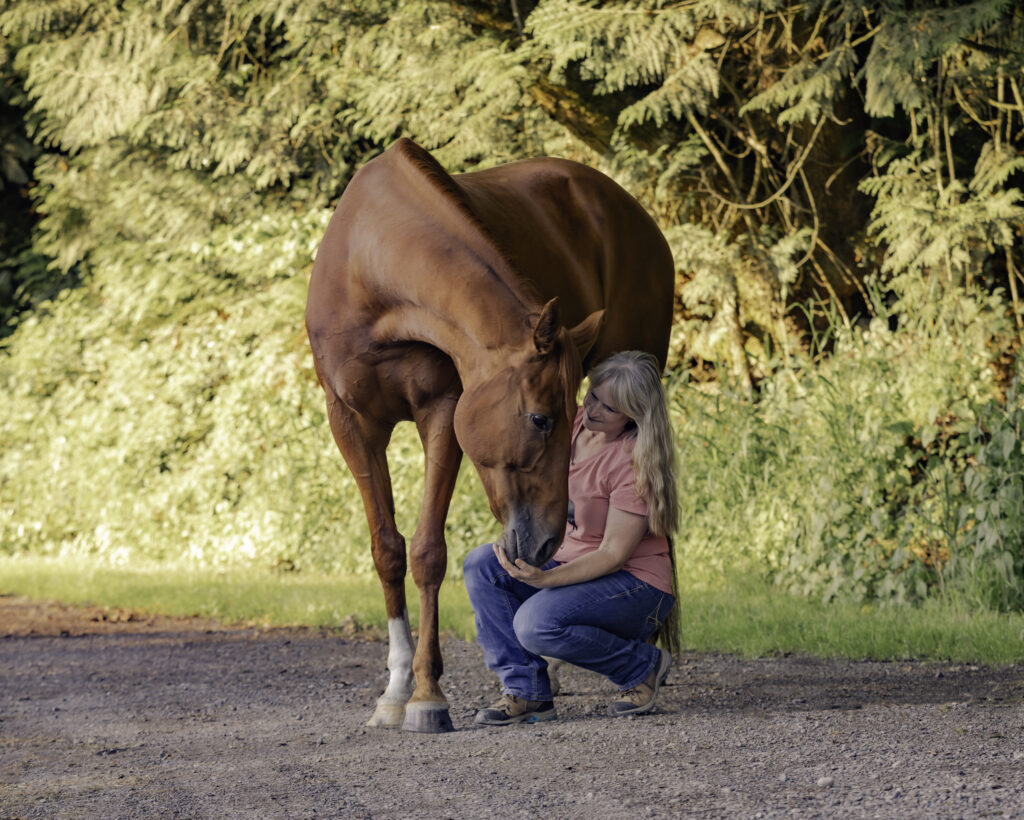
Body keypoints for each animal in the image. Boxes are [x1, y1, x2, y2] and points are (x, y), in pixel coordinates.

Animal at [303, 137, 671, 732]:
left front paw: (427, 696)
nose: (543, 543)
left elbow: (428, 552)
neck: (370, 272)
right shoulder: (350, 424)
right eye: (542, 419)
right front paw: (395, 691)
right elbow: (388, 551)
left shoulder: (443, 411)